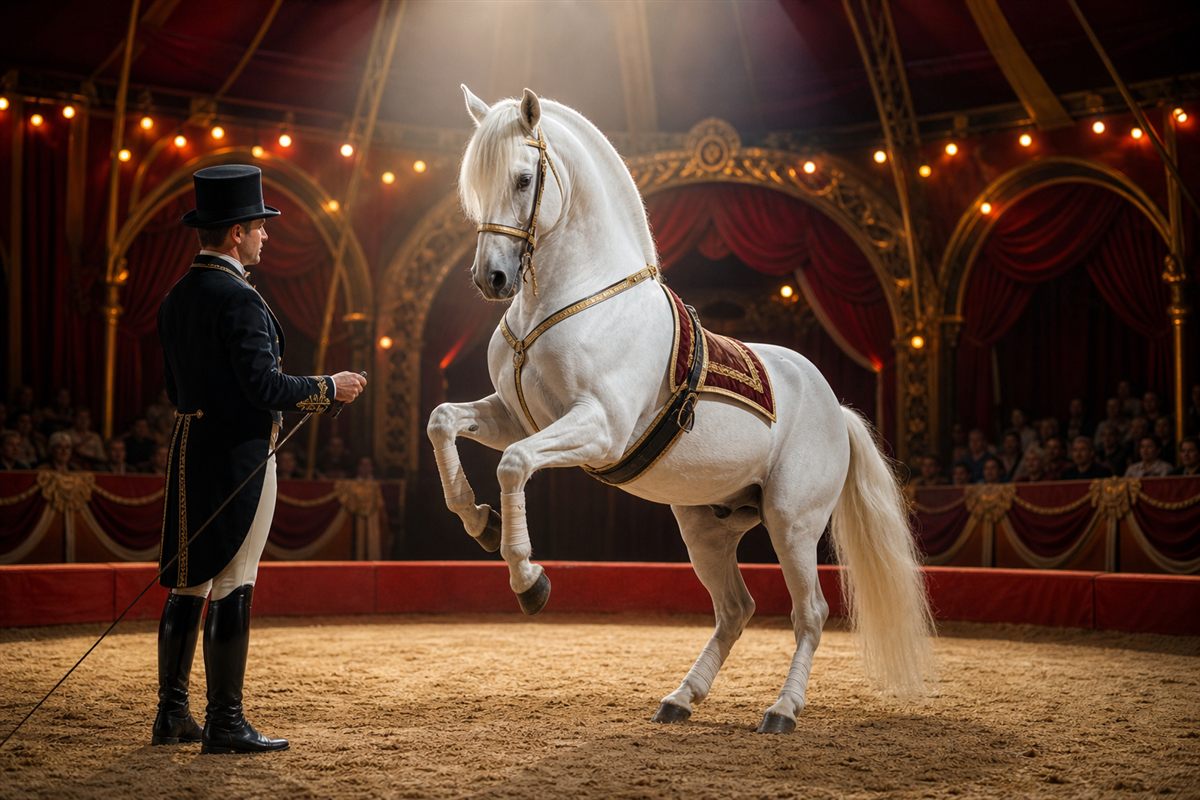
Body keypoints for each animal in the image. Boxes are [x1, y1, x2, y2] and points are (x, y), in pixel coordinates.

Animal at [427, 85, 934, 733]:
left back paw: (782, 710)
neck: (578, 298)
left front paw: (529, 580)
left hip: (791, 522)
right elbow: (444, 421)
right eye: (475, 183)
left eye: (522, 178)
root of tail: (836, 409)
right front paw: (479, 521)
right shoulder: (516, 416)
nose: (490, 278)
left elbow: (513, 463)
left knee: (810, 613)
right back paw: (680, 698)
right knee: (736, 609)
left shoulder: (599, 429)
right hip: (705, 527)